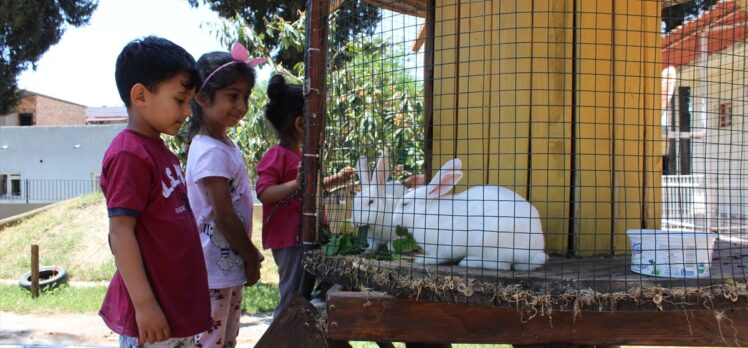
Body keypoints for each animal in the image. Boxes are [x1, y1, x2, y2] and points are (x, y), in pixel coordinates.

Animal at [392, 158, 548, 272]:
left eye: (405, 204)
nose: (394, 219)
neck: (425, 212)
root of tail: (534, 251)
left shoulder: (444, 247)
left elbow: (439, 257)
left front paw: (423, 259)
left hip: (489, 245)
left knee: (502, 265)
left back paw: (469, 261)